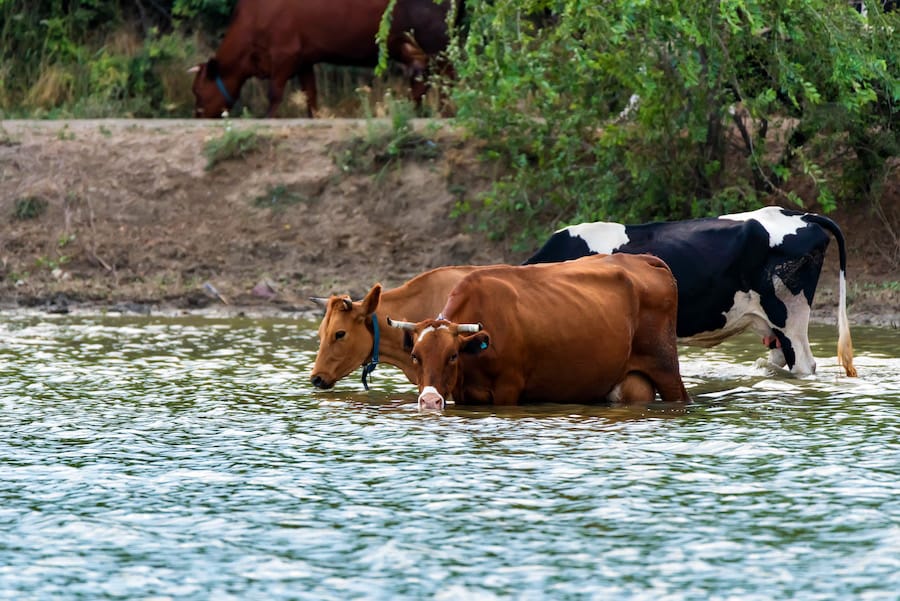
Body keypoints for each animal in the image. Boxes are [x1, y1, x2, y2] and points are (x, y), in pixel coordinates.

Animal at [188, 0, 458, 117]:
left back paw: (445, 112)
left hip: (437, 42)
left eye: (198, 91)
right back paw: (417, 111)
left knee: (449, 77)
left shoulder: (285, 54)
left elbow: (275, 94)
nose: (198, 115)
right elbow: (311, 95)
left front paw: (267, 119)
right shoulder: (303, 60)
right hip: (414, 47)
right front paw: (314, 117)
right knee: (423, 82)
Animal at [386, 253, 688, 408]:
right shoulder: (462, 393)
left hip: (666, 369)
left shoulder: (508, 388)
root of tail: (643, 259)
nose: (429, 401)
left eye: (452, 356)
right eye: (415, 356)